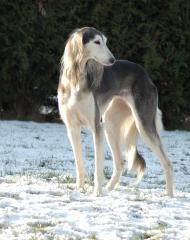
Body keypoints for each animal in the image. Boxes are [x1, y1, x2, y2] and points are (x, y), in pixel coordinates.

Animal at [57, 26, 174, 197]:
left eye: (105, 42)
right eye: (97, 42)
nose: (112, 60)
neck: (76, 80)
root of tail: (144, 73)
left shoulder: (96, 127)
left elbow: (98, 165)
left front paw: (97, 192)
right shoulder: (72, 128)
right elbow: (79, 164)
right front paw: (80, 189)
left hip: (143, 124)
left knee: (167, 162)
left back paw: (169, 195)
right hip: (110, 125)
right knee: (120, 162)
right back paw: (109, 189)